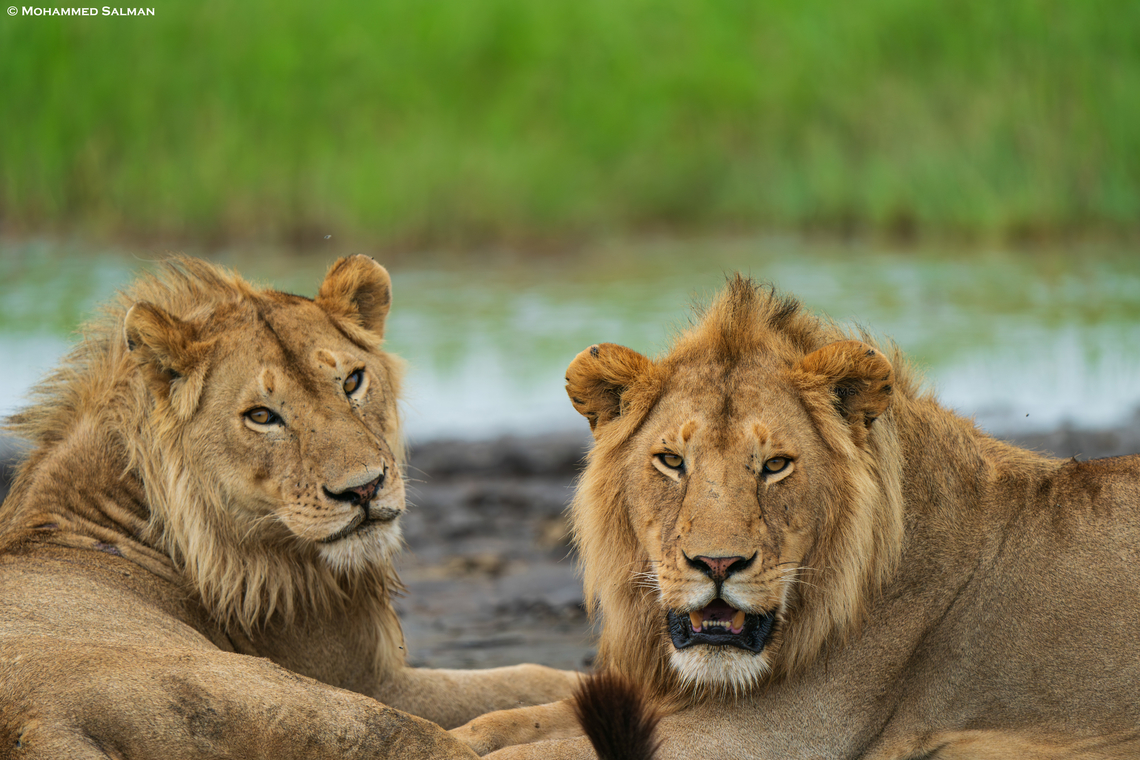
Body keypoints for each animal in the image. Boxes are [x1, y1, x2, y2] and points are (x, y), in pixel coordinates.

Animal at [0, 255, 576, 759]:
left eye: (352, 381)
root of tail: (38, 723)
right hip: (279, 693)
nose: (364, 489)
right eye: (261, 416)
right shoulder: (363, 676)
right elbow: (527, 676)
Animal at [453, 275, 1140, 759]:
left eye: (776, 465)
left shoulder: (778, 736)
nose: (718, 563)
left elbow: (538, 751)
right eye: (672, 460)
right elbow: (509, 722)